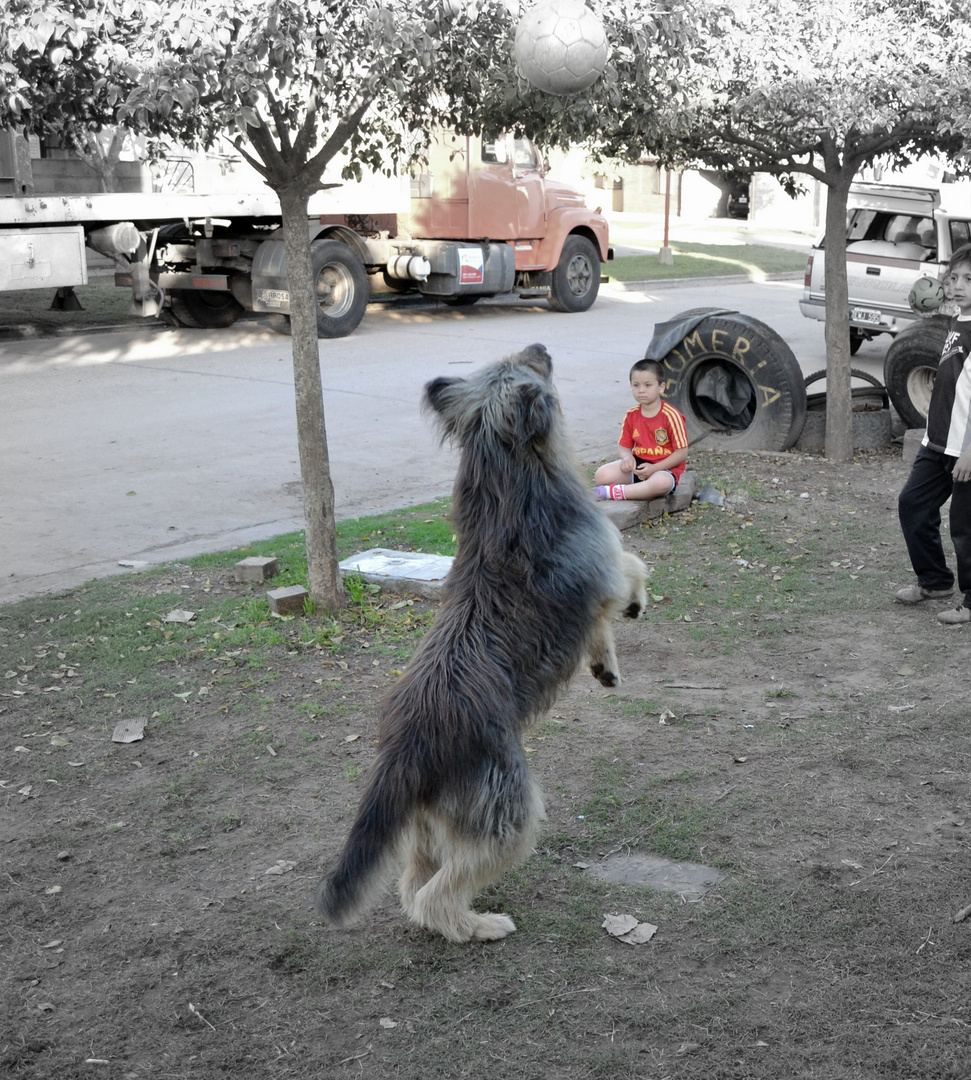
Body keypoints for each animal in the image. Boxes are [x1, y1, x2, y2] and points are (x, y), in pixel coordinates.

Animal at [315, 345, 648, 946]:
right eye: (529, 370)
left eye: (510, 360)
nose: (541, 347)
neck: (508, 482)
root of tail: (403, 749)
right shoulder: (603, 567)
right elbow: (632, 567)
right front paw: (635, 608)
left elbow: (599, 624)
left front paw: (604, 664)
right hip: (508, 810)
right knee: (436, 892)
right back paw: (479, 925)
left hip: (430, 823)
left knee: (412, 886)